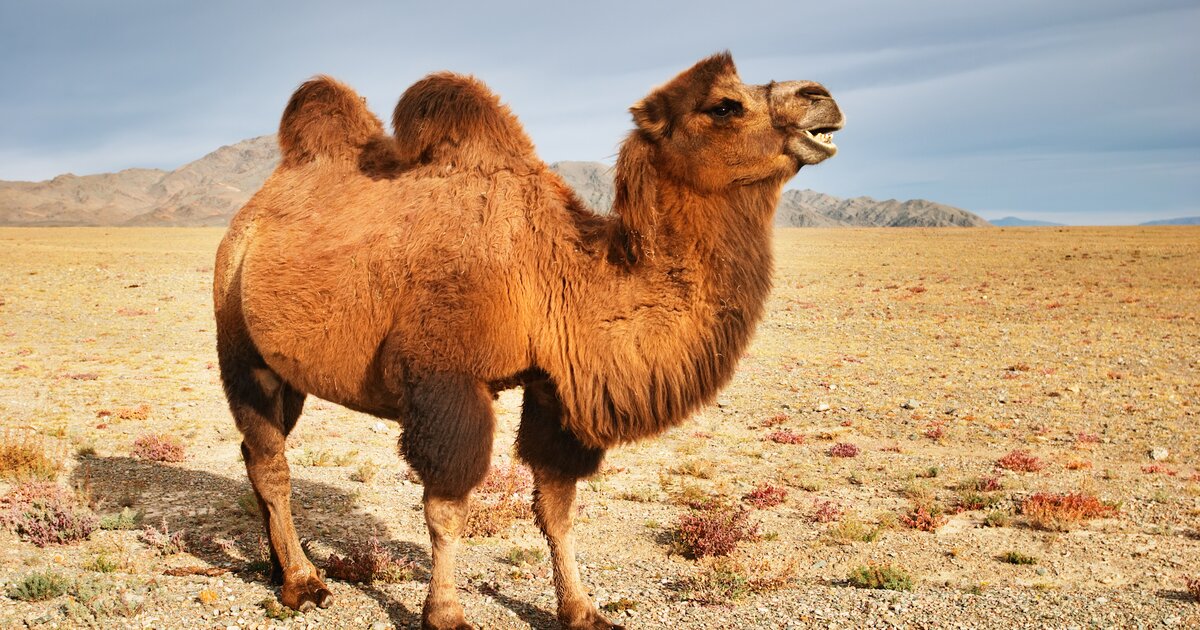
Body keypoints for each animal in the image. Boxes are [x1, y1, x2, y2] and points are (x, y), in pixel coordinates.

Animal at [214, 52, 843, 629]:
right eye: (724, 106)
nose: (821, 97)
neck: (558, 270)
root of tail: (253, 211)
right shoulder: (444, 377)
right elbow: (446, 506)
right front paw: (445, 614)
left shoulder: (554, 386)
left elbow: (557, 506)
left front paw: (582, 609)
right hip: (239, 343)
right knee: (271, 461)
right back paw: (302, 583)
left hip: (288, 370)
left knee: (258, 450)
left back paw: (277, 566)